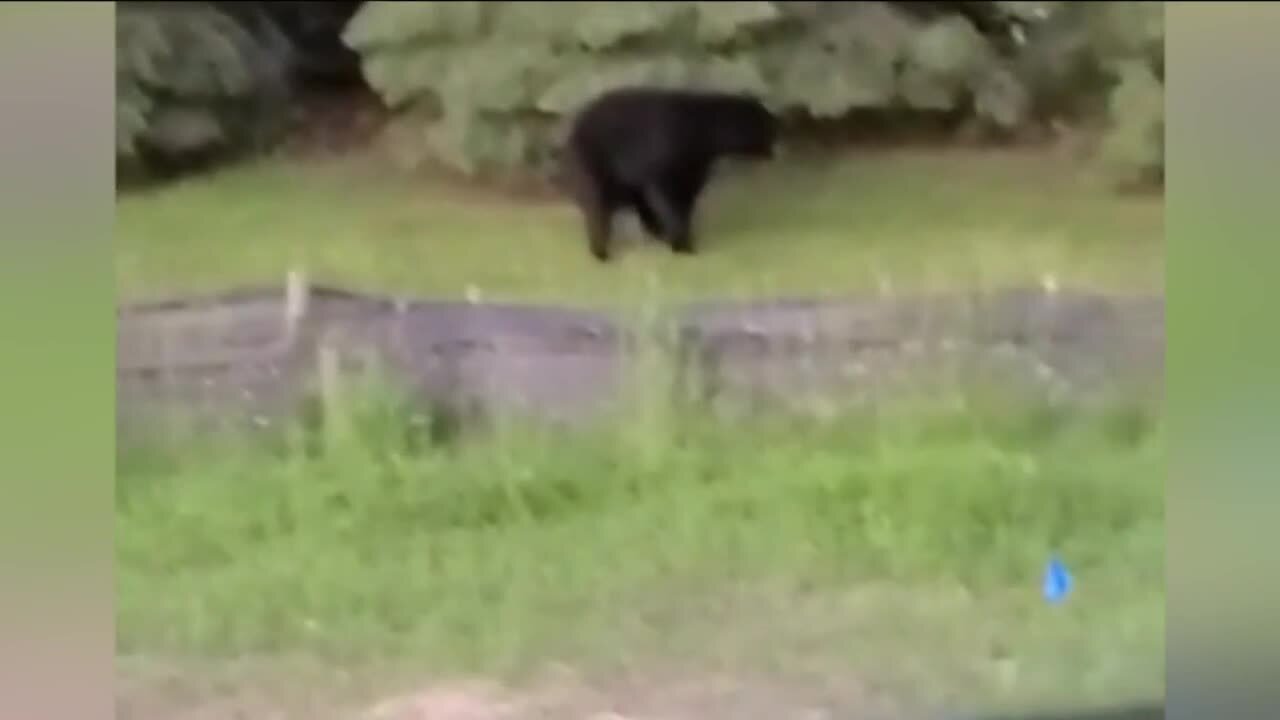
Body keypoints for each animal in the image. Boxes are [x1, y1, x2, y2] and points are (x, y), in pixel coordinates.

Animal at [560, 86, 778, 260]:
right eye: (767, 127)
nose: (777, 146)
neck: (703, 131)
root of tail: (572, 130)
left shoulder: (694, 162)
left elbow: (686, 195)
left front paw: (679, 237)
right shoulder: (667, 148)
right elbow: (667, 195)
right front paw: (684, 245)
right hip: (595, 163)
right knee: (597, 204)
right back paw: (602, 252)